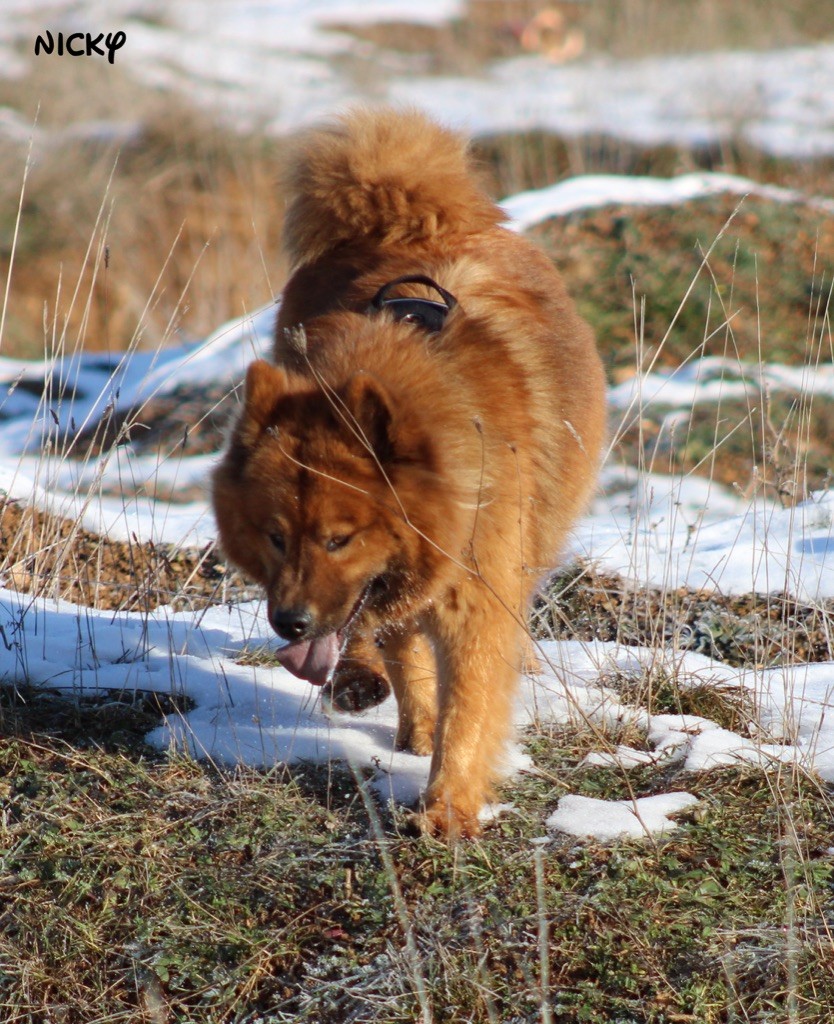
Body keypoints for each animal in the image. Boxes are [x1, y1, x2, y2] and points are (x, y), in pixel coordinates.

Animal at [212, 108, 602, 835]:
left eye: (339, 539)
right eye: (276, 537)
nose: (290, 624)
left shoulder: (478, 600)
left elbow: (470, 707)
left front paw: (446, 808)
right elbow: (390, 645)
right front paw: (398, 715)